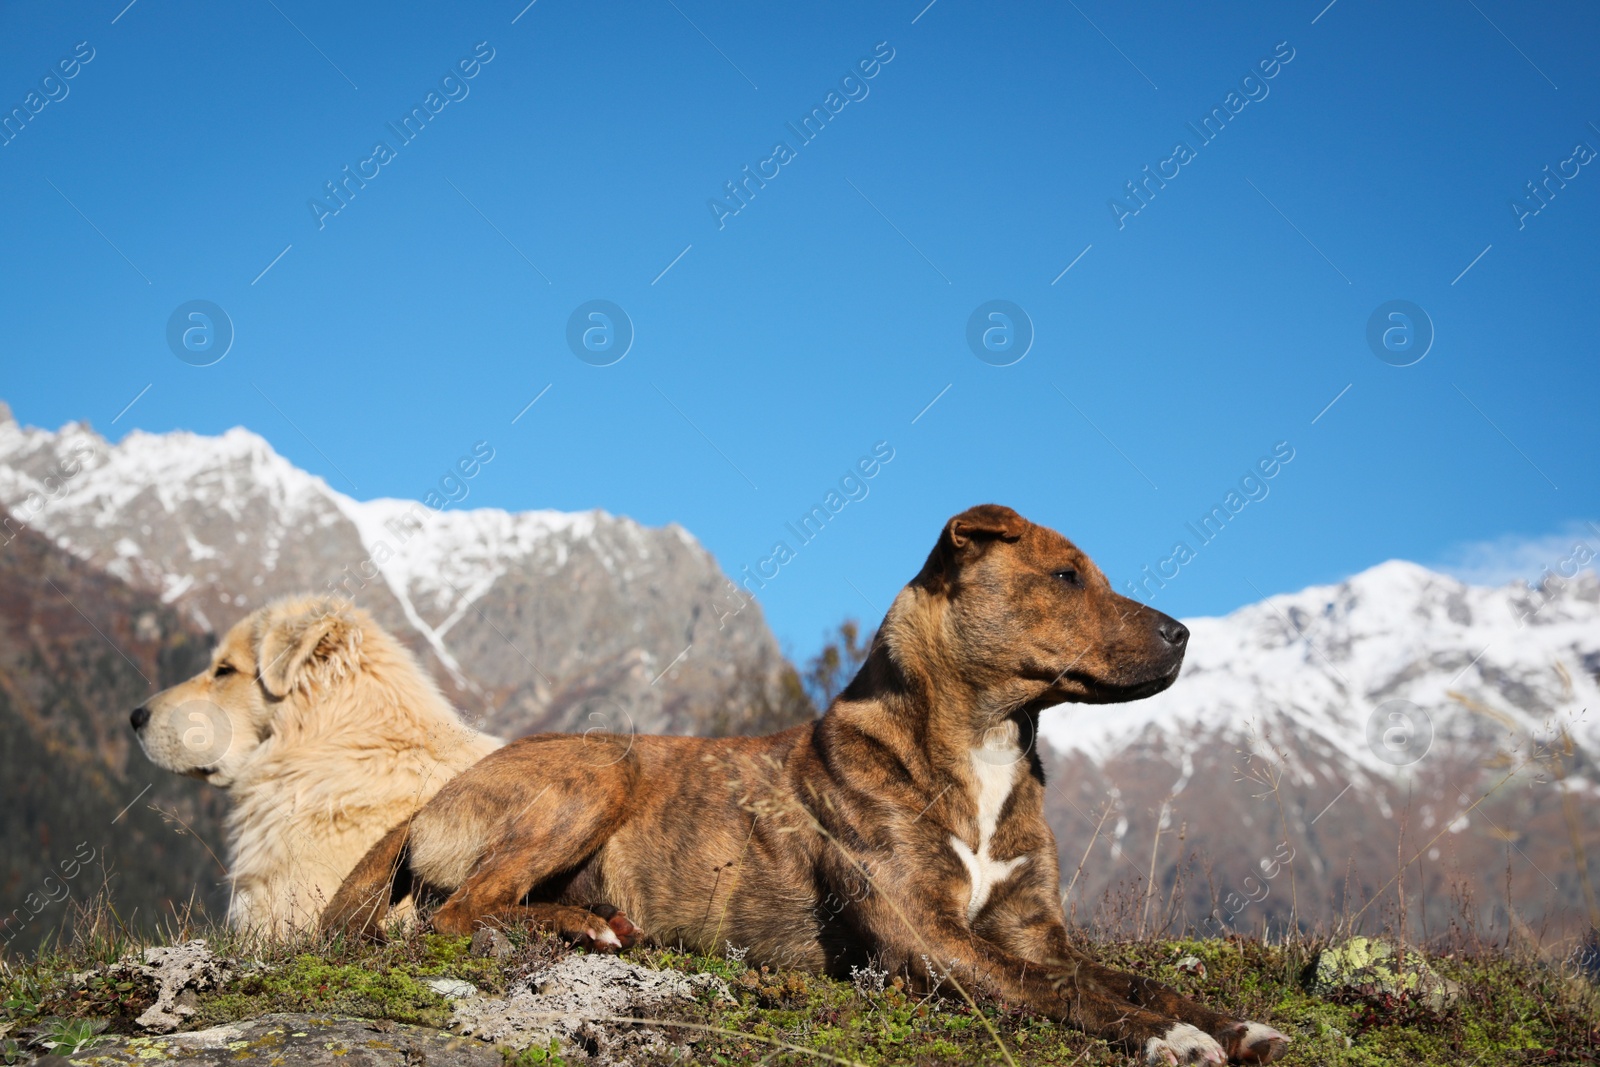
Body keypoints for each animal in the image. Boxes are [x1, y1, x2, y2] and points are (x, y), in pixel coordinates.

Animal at [321, 505, 1286, 1062]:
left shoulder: (1037, 929)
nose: (1184, 633)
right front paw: (1176, 1039)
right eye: (1065, 575)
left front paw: (1233, 1024)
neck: (981, 749)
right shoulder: (927, 939)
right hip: (599, 769)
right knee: (460, 912)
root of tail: (431, 801)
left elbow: (1133, 980)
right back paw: (583, 928)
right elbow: (1072, 992)